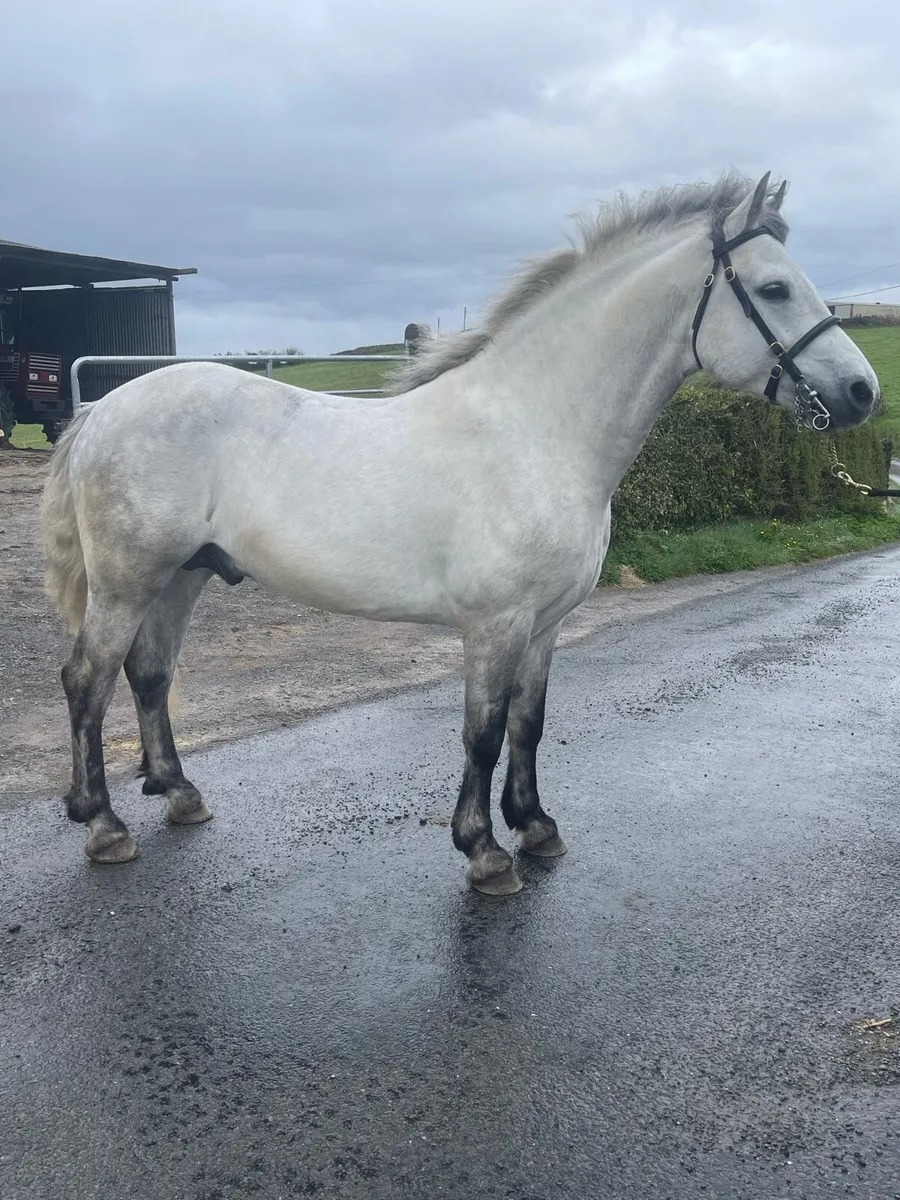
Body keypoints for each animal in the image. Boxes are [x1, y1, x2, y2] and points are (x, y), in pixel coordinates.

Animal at [40, 171, 879, 894]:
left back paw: (180, 795)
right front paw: (484, 852)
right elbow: (482, 731)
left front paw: (535, 826)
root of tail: (104, 409)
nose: (862, 391)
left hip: (183, 575)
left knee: (149, 676)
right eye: (774, 287)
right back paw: (103, 826)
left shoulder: (544, 625)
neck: (537, 429)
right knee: (87, 680)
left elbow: (528, 725)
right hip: (129, 581)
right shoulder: (494, 623)